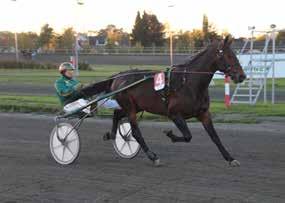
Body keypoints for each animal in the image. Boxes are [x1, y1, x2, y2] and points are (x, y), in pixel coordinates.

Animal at [99, 36, 244, 167]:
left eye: (234, 54)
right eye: (228, 55)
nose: (242, 76)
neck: (188, 83)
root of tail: (118, 76)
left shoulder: (204, 114)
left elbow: (215, 137)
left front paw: (231, 159)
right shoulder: (174, 113)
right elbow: (188, 136)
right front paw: (171, 135)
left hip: (136, 106)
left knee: (117, 114)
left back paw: (111, 135)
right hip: (130, 108)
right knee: (135, 132)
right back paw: (153, 156)